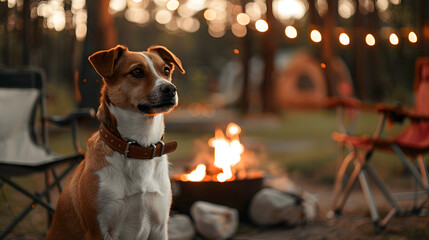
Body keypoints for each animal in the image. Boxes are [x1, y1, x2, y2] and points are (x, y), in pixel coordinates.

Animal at [46, 45, 185, 240]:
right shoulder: (100, 229)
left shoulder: (159, 227)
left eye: (166, 71)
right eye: (137, 72)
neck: (139, 147)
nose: (171, 89)